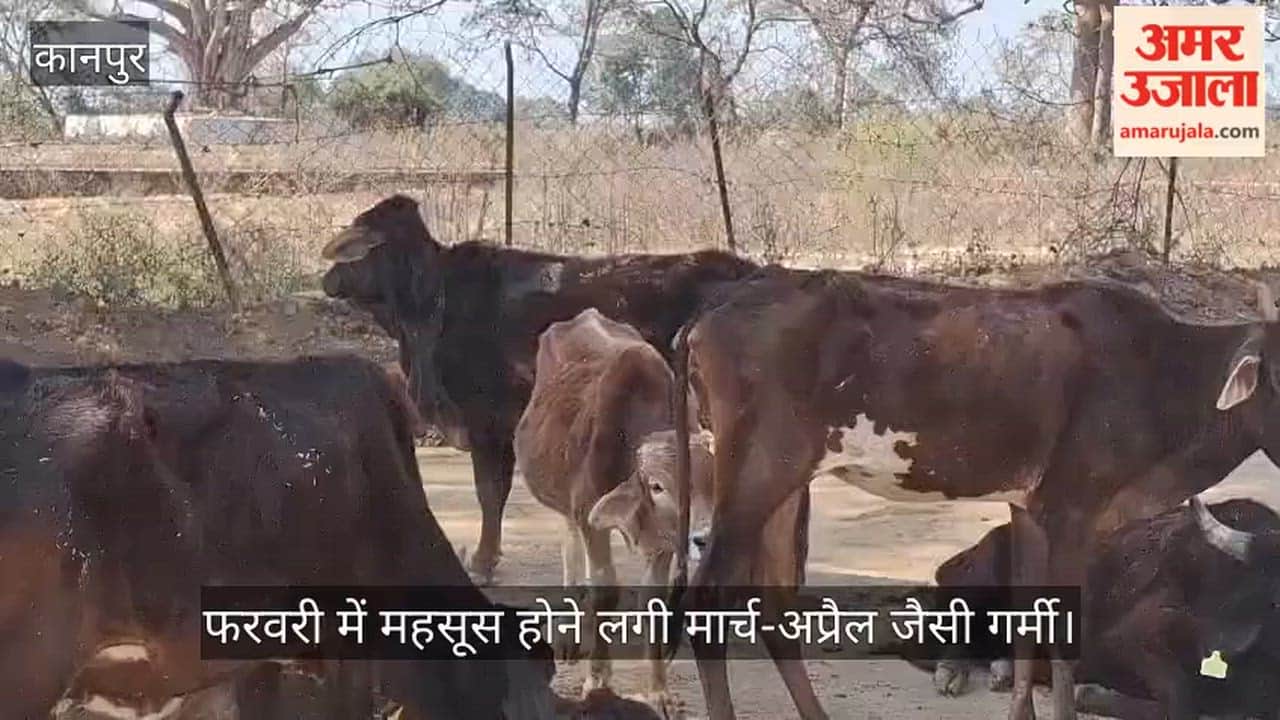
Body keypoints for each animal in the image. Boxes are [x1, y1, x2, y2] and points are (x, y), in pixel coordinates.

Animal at [319, 194, 759, 584]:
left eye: (359, 233)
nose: (327, 279)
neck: (432, 303)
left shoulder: (486, 423)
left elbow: (490, 493)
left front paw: (482, 561)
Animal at [513, 308, 715, 707]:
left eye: (715, 482)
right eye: (657, 486)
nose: (703, 539)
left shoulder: (663, 541)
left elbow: (654, 602)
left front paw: (658, 691)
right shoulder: (591, 519)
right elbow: (603, 591)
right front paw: (597, 682)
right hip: (568, 507)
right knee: (571, 551)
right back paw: (570, 633)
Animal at [930, 496, 1280, 720]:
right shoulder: (1128, 639)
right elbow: (1181, 700)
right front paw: (1088, 694)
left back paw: (1003, 670)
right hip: (981, 578)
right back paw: (950, 673)